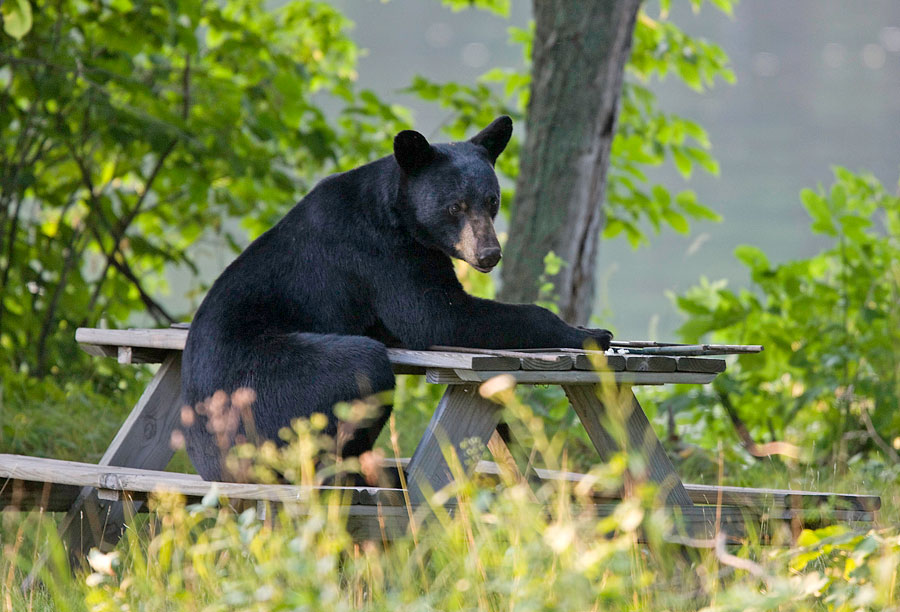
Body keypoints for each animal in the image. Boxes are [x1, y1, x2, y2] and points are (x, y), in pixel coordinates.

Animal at [183, 117, 616, 480]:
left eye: (492, 201)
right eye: (455, 206)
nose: (489, 254)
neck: (397, 211)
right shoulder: (380, 251)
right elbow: (437, 316)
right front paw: (590, 332)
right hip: (264, 387)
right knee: (361, 366)